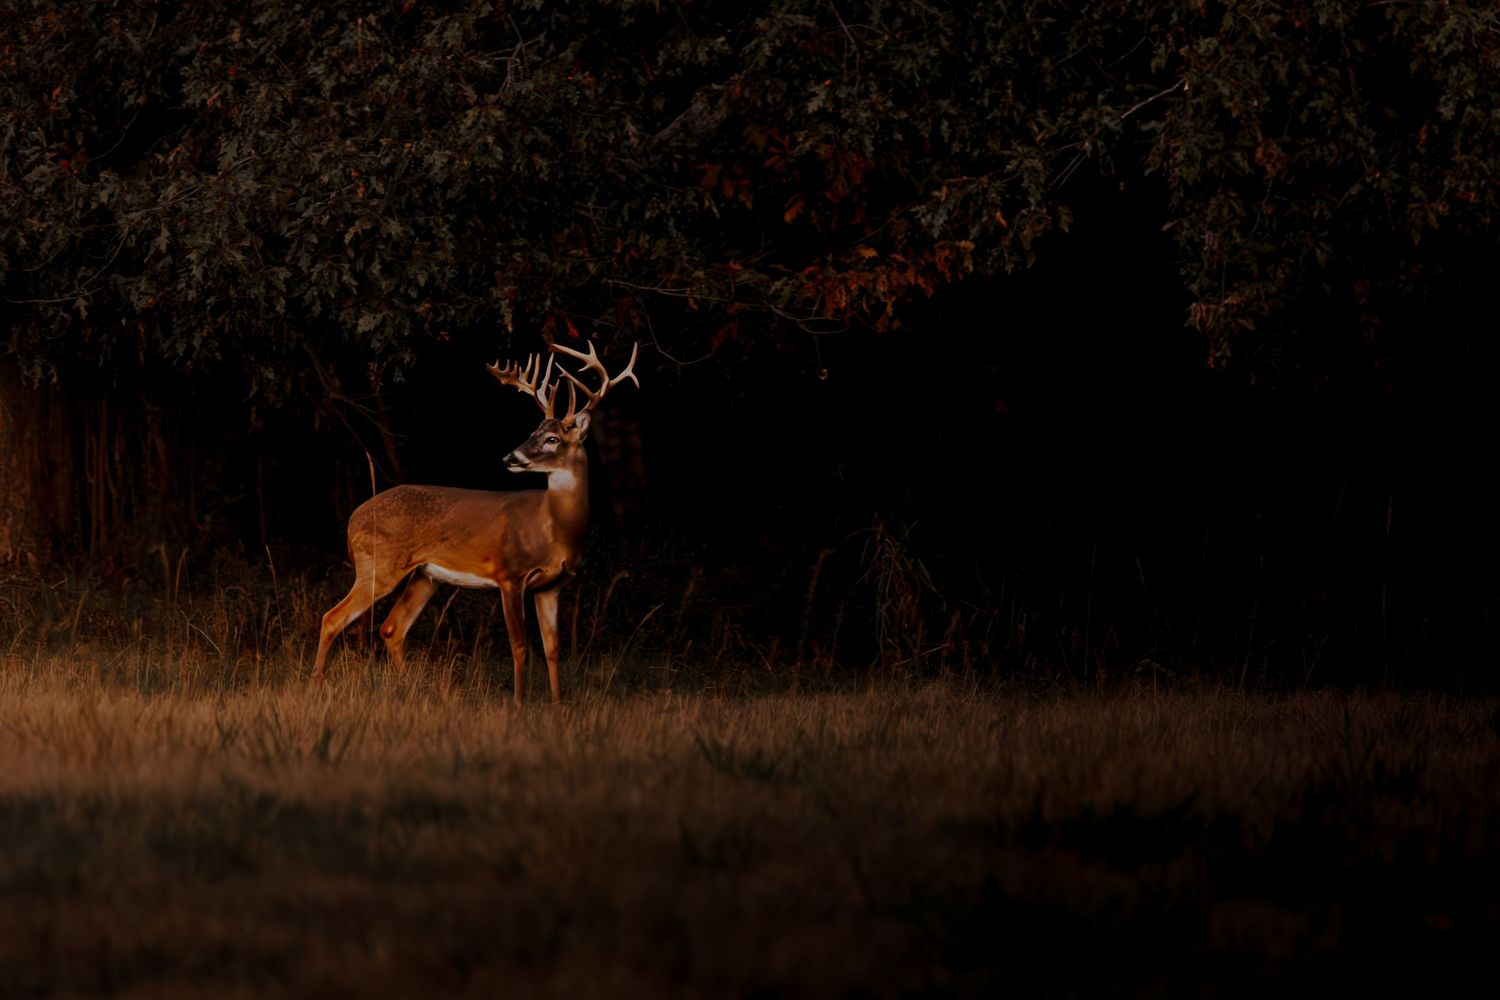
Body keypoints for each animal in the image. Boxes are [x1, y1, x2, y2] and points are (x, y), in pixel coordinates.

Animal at [311, 339, 640, 703]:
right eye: (533, 431)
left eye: (552, 438)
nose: (510, 457)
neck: (554, 529)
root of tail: (352, 520)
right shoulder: (510, 574)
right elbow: (520, 646)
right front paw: (520, 702)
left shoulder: (552, 585)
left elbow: (553, 649)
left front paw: (558, 704)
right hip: (379, 565)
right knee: (332, 617)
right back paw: (316, 686)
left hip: (425, 575)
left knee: (392, 628)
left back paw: (411, 689)